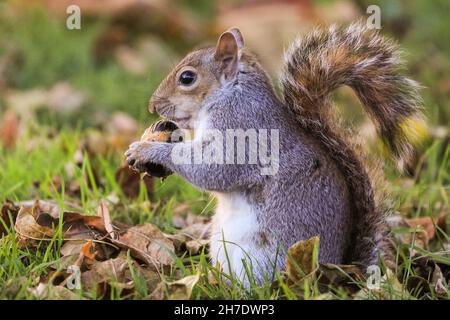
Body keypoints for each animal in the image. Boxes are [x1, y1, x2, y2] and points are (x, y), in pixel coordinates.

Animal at [125, 21, 424, 282]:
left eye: (187, 78)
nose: (153, 105)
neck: (228, 94)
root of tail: (339, 274)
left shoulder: (240, 130)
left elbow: (213, 169)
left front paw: (149, 149)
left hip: (263, 259)